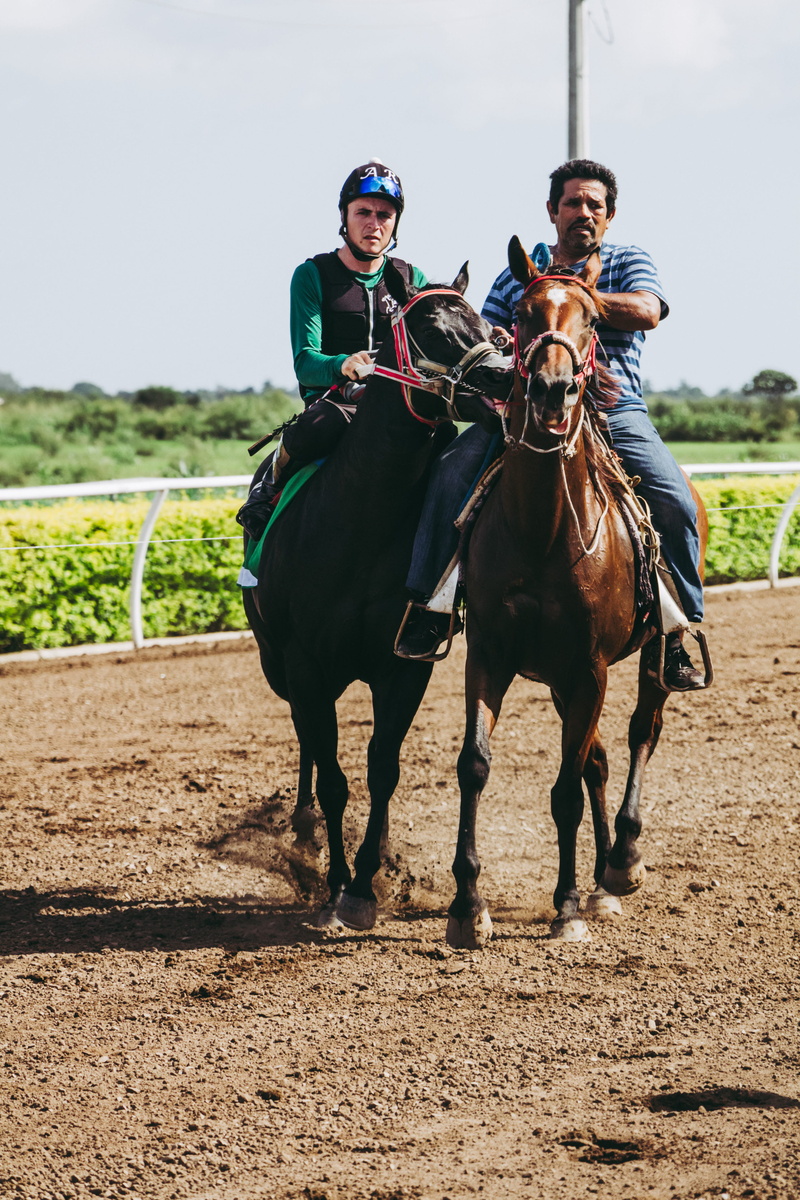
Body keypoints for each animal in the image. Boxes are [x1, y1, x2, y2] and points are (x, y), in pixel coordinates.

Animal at [243, 262, 513, 930]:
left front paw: (367, 879)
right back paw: (304, 833)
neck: (362, 516)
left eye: (485, 323)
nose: (504, 374)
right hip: (277, 664)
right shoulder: (305, 665)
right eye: (429, 327)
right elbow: (335, 775)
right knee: (307, 741)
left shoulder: (404, 662)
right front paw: (338, 883)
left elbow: (383, 769)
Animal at [446, 238, 709, 950]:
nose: (553, 388)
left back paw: (620, 862)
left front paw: (564, 904)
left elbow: (564, 786)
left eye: (592, 320)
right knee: (596, 759)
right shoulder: (492, 655)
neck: (543, 527)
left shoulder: (591, 666)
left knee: (641, 733)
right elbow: (476, 765)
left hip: (649, 659)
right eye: (524, 315)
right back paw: (599, 878)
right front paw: (467, 904)